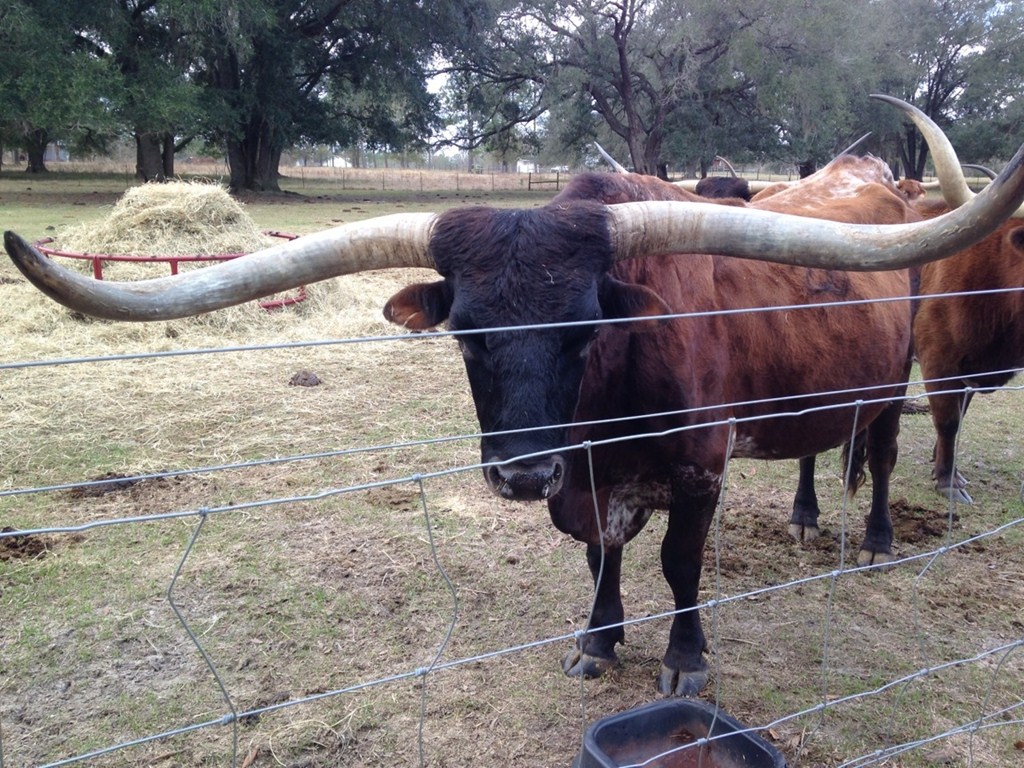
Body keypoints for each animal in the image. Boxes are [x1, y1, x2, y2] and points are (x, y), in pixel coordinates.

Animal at [872, 94, 1024, 503]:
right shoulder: (939, 359)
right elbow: (949, 419)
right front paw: (946, 480)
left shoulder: (969, 368)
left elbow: (959, 416)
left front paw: (946, 467)